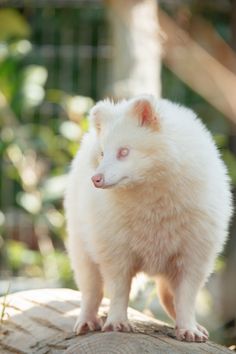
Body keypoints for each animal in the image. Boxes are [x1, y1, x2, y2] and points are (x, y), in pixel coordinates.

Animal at [64, 95, 232, 342]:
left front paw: (189, 328)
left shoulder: (195, 251)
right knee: (91, 288)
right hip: (81, 241)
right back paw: (86, 320)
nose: (96, 178)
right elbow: (119, 288)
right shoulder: (113, 245)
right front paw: (117, 322)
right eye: (102, 153)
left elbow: (187, 294)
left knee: (168, 296)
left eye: (124, 151)